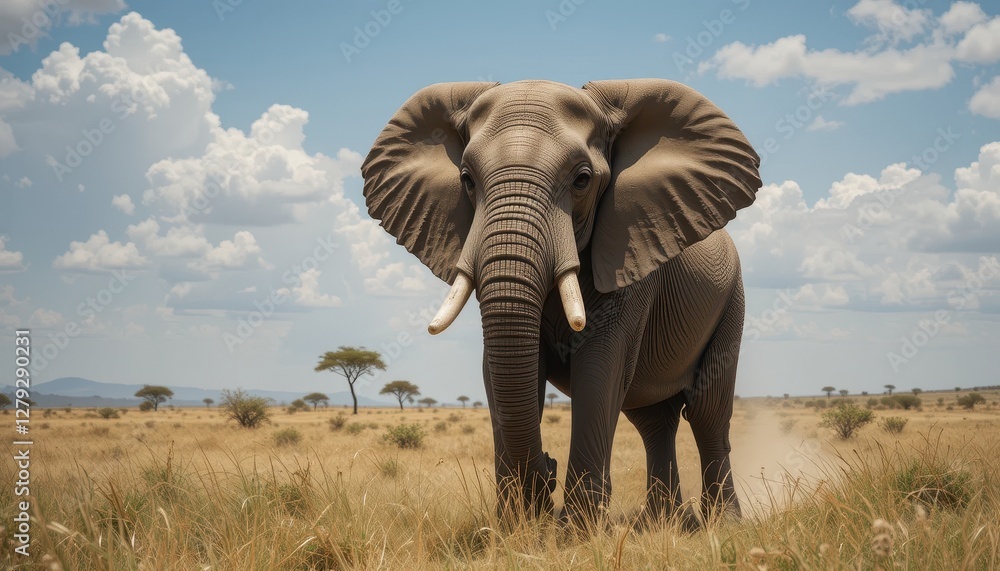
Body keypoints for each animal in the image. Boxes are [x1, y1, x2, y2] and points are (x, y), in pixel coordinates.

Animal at [361, 79, 761, 527]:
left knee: (707, 412)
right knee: (652, 419)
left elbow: (601, 367)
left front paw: (577, 530)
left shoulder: (628, 256)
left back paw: (722, 523)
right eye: (467, 180)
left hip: (732, 299)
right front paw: (516, 525)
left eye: (582, 180)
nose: (548, 470)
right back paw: (662, 522)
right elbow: (502, 367)